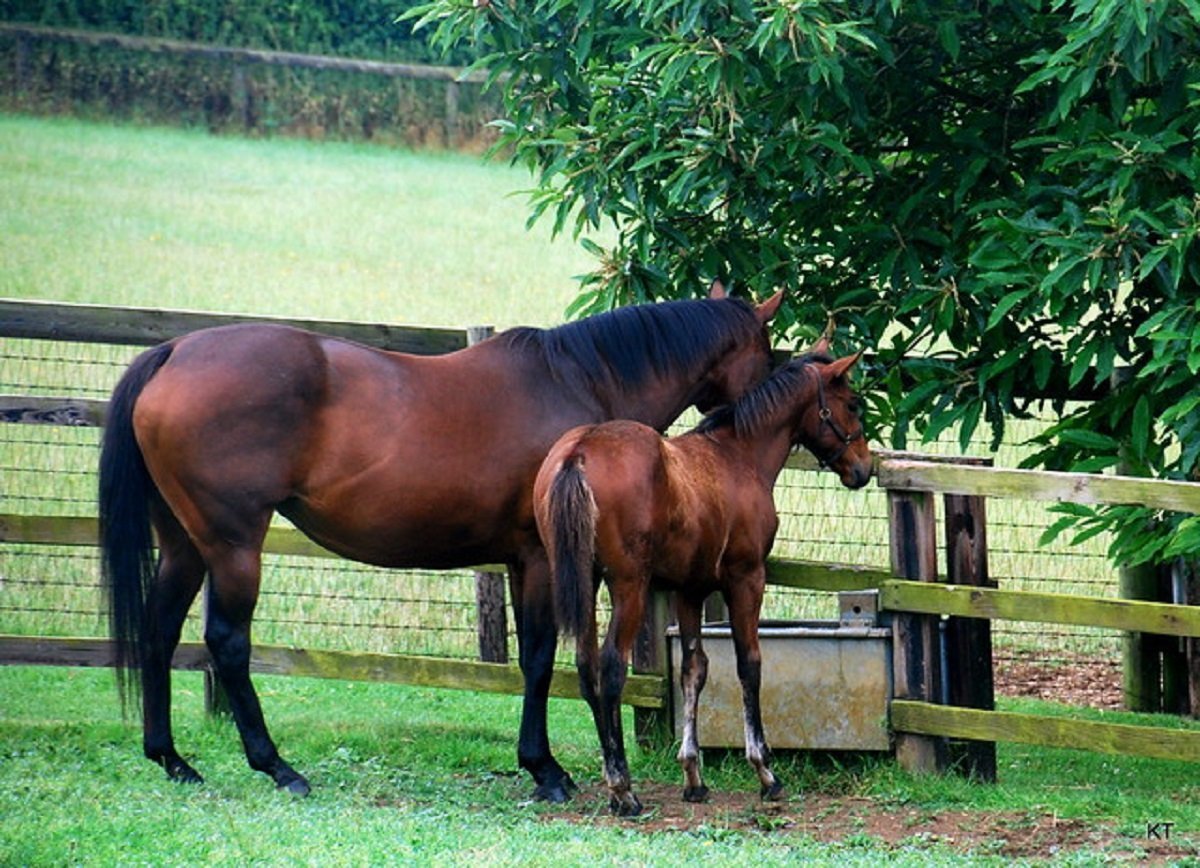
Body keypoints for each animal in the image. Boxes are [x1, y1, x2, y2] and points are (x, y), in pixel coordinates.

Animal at [98, 282, 783, 800]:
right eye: (769, 350)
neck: (581, 385)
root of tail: (174, 351)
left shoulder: (525, 562)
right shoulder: (540, 559)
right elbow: (540, 658)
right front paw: (546, 770)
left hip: (185, 545)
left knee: (159, 631)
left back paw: (174, 760)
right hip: (233, 545)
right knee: (227, 643)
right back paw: (278, 767)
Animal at [532, 343, 871, 815]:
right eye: (851, 404)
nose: (864, 468)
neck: (738, 455)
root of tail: (578, 452)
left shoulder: (689, 590)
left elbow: (694, 669)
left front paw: (693, 775)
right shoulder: (746, 579)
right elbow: (749, 664)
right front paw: (765, 771)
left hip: (585, 582)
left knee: (587, 668)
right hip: (628, 586)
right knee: (612, 667)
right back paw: (623, 788)